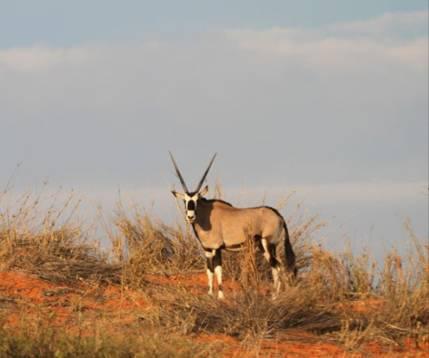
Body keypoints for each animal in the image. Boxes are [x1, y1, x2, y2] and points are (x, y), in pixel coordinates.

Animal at [169, 152, 296, 298]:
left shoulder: (217, 248)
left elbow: (218, 270)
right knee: (276, 267)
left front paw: (220, 296)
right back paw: (275, 295)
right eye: (185, 200)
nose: (190, 216)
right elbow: (209, 271)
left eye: (196, 200)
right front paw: (210, 294)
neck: (206, 215)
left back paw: (275, 296)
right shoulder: (207, 250)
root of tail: (278, 215)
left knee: (277, 265)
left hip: (268, 244)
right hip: (266, 246)